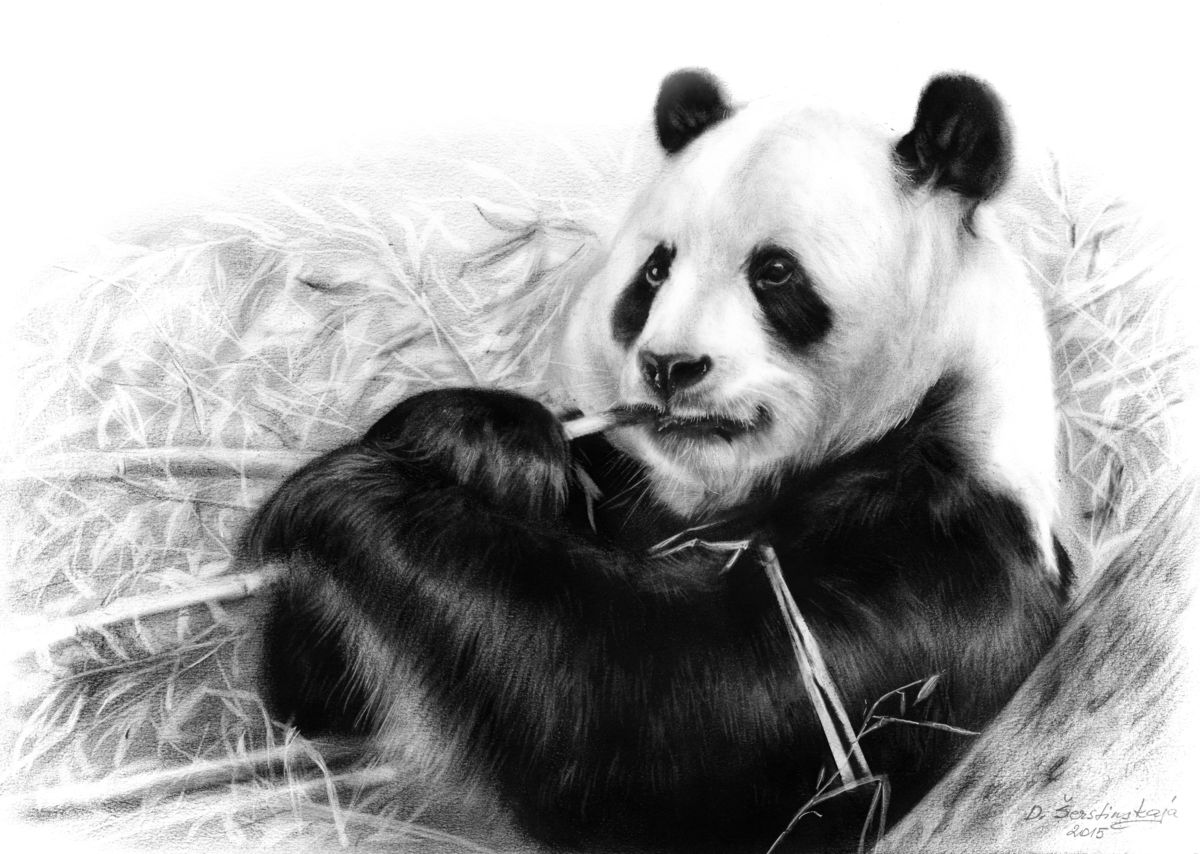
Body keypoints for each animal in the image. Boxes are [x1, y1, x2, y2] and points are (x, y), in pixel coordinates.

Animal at [243, 70, 1070, 851]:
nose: (670, 366)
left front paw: (334, 498)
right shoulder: (626, 488)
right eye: (654, 271)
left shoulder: (934, 561)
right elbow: (318, 710)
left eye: (775, 272)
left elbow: (661, 721)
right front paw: (481, 442)